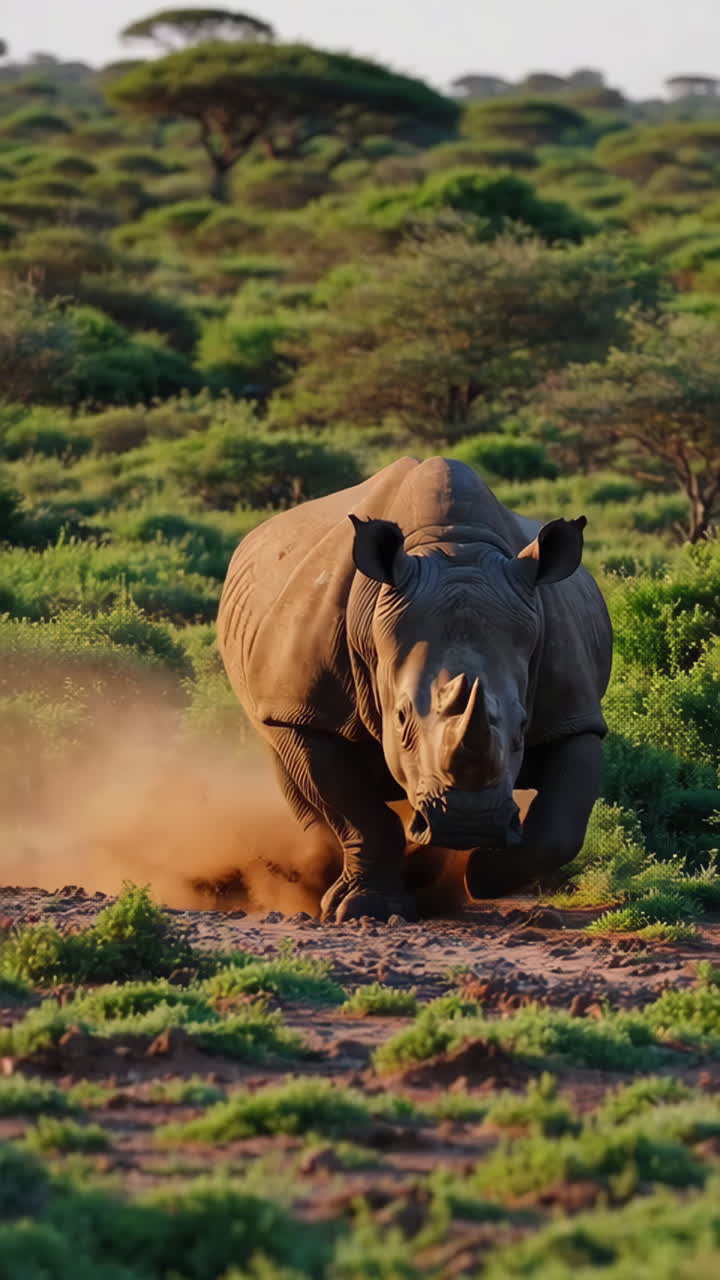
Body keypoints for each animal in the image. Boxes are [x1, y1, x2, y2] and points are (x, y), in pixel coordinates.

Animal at [218, 456, 612, 923]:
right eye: (401, 716)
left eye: (522, 724)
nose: (468, 822)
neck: (451, 545)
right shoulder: (305, 711)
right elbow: (357, 814)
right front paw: (366, 907)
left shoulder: (574, 713)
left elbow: (560, 828)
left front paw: (481, 876)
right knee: (291, 775)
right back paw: (323, 882)